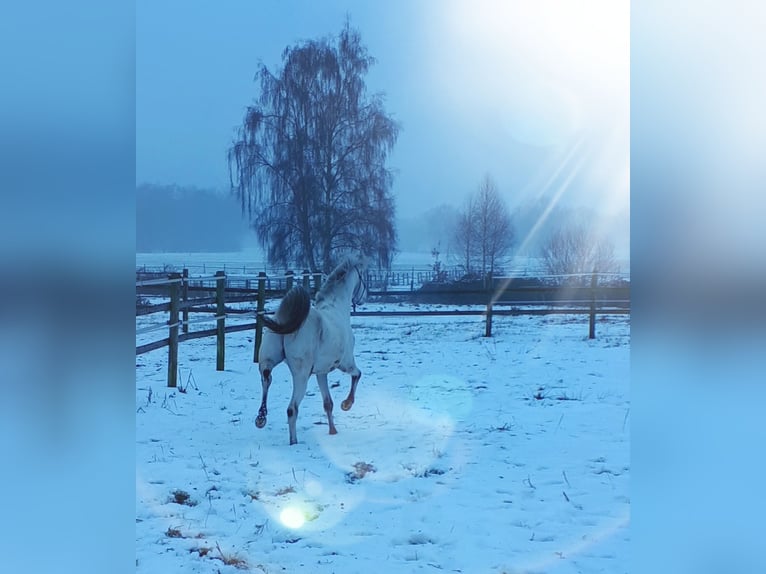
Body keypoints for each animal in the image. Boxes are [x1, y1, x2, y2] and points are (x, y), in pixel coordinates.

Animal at [255, 256, 368, 445]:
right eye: (362, 277)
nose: (366, 296)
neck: (337, 309)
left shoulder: (321, 373)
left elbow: (328, 403)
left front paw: (332, 431)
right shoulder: (346, 363)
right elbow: (357, 375)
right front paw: (346, 404)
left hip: (268, 361)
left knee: (266, 380)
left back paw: (261, 418)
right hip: (301, 376)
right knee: (292, 409)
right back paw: (293, 442)